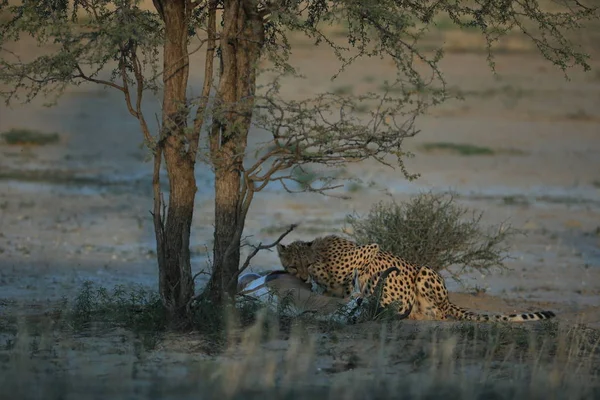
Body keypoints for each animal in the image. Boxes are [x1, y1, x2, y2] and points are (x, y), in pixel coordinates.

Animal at [276, 234, 556, 322]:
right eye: (292, 266)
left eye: (307, 264)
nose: (303, 277)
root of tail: (448, 300)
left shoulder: (368, 253)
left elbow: (359, 277)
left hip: (424, 272)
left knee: (439, 315)